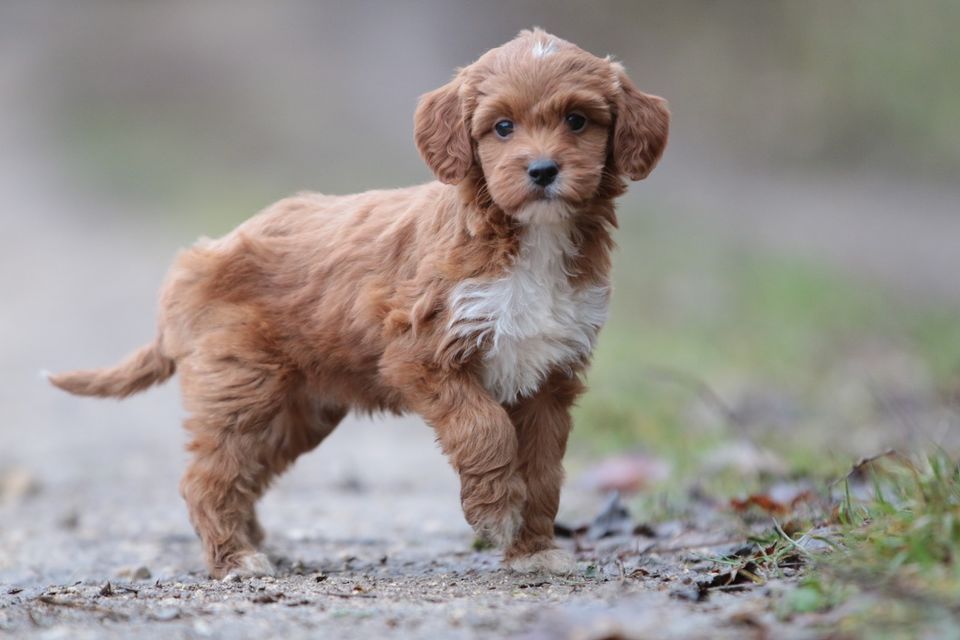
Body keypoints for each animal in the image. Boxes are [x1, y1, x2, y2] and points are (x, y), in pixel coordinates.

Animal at [50, 28, 668, 580]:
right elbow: (483, 428)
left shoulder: (550, 378)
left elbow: (543, 471)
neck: (528, 240)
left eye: (577, 120)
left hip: (299, 410)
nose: (542, 170)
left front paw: (533, 551)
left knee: (245, 472)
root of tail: (197, 257)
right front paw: (494, 513)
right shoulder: (421, 354)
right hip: (240, 386)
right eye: (502, 126)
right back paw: (235, 560)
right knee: (207, 476)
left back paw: (252, 543)